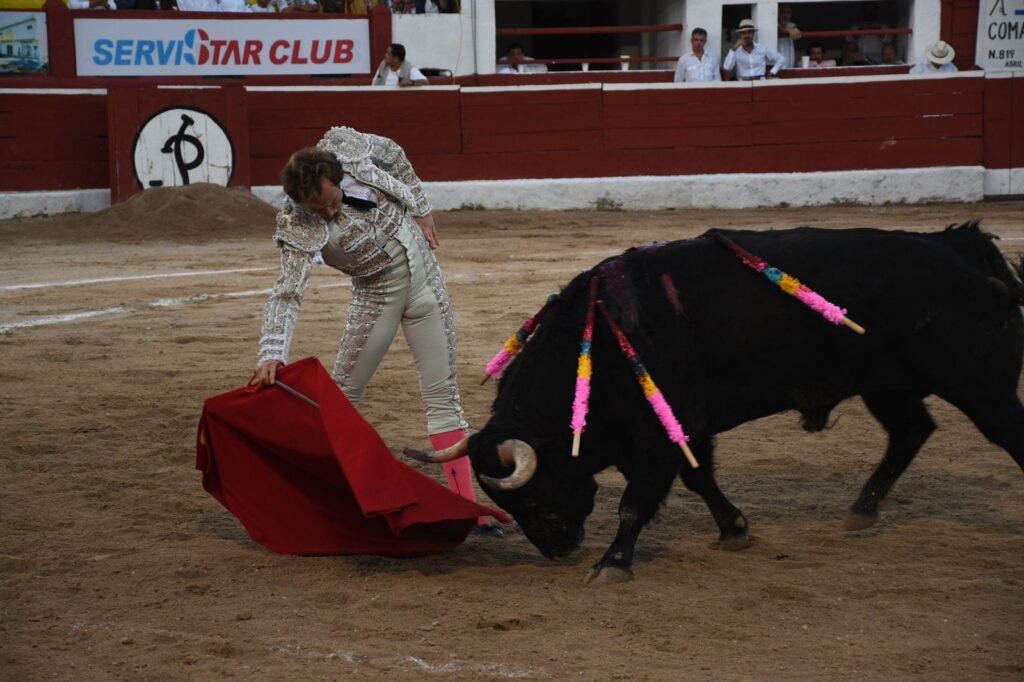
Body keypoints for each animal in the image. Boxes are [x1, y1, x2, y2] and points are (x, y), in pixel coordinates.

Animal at [409, 222, 1024, 577]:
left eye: (533, 498)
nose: (558, 551)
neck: (601, 340)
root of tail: (962, 245)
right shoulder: (673, 429)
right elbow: (698, 477)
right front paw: (734, 530)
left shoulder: (663, 427)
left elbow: (636, 500)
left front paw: (612, 563)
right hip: (886, 385)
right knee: (910, 432)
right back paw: (861, 510)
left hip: (983, 387)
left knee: (1000, 434)